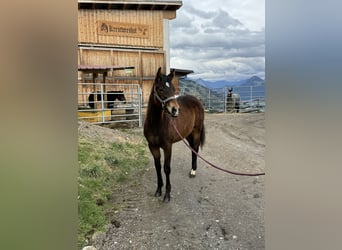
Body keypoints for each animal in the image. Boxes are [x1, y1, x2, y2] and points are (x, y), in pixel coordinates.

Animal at [143, 67, 204, 202]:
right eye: (160, 89)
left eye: (172, 89)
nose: (175, 110)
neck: (156, 124)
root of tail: (197, 101)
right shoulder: (152, 146)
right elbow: (158, 166)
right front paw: (159, 190)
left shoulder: (167, 146)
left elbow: (167, 168)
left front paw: (167, 194)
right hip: (187, 134)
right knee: (192, 149)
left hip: (196, 132)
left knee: (195, 148)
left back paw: (193, 171)